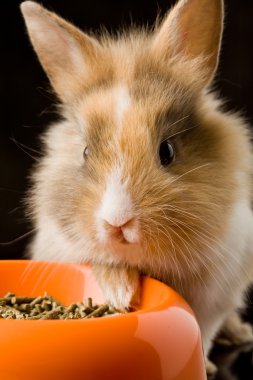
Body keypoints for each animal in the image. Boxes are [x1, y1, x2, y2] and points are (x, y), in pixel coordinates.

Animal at [20, 0, 253, 374]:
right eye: (86, 152)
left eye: (167, 151)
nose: (118, 222)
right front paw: (121, 293)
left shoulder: (215, 296)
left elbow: (203, 329)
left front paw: (206, 365)